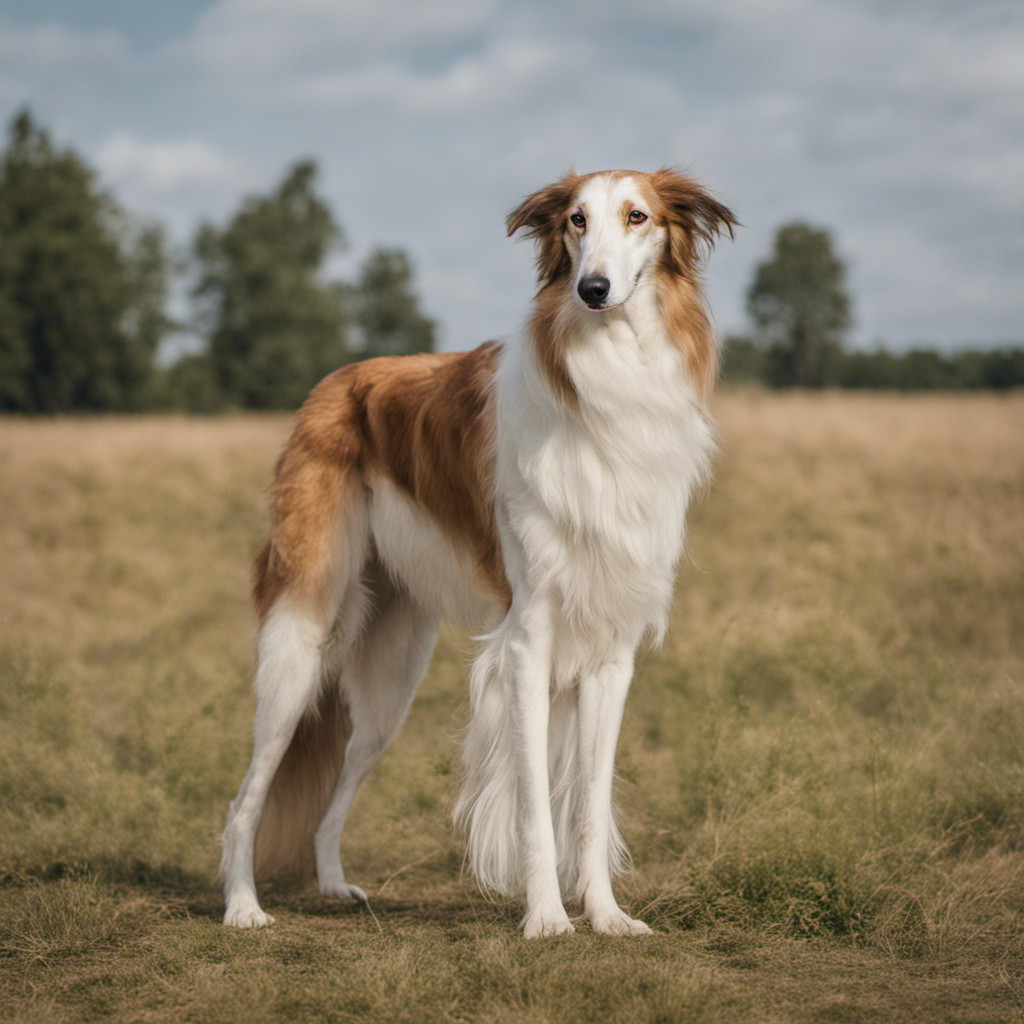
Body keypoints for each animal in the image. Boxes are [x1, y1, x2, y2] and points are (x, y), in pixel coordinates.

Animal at [222, 165, 737, 937]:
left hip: (390, 683)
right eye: (576, 221)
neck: (607, 380)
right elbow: (534, 807)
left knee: (334, 789)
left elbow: (590, 803)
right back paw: (242, 905)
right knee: (246, 796)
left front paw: (607, 916)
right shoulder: (529, 640)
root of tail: (334, 381)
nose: (592, 289)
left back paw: (334, 884)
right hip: (301, 638)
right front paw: (547, 919)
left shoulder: (611, 653)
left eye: (637, 216)